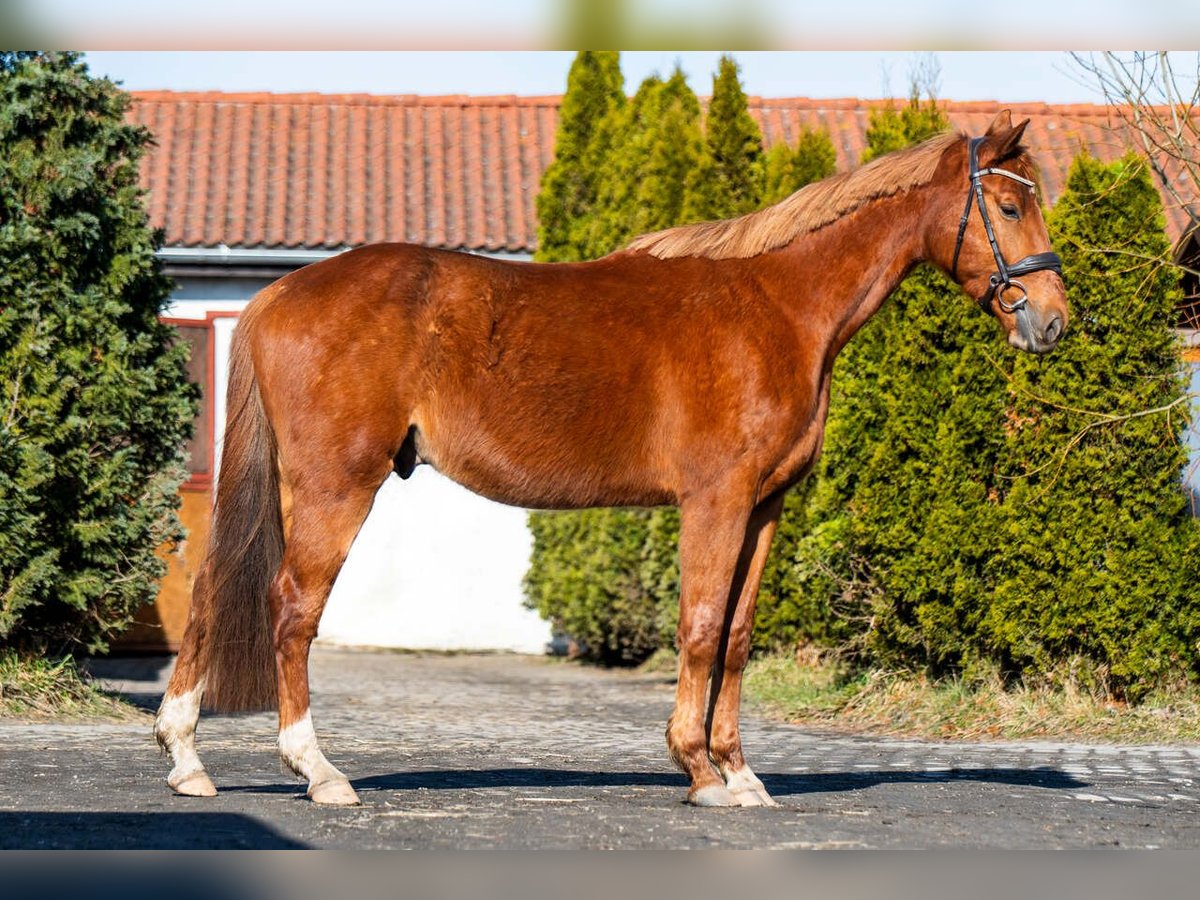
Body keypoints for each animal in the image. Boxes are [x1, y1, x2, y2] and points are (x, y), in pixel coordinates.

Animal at [154, 111, 1065, 811]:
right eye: (1009, 204)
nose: (1052, 321)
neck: (776, 308)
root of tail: (280, 292)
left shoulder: (766, 505)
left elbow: (737, 634)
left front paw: (740, 772)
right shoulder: (715, 500)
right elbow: (700, 626)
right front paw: (700, 772)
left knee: (213, 591)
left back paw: (187, 759)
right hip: (335, 486)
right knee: (292, 609)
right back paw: (318, 772)